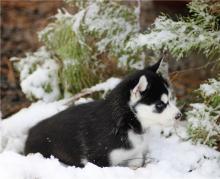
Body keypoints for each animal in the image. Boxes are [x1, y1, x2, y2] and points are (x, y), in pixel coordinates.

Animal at [24, 58, 181, 168]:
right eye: (160, 105)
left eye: (170, 99)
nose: (179, 116)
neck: (125, 124)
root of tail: (30, 132)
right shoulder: (98, 160)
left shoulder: (135, 156)